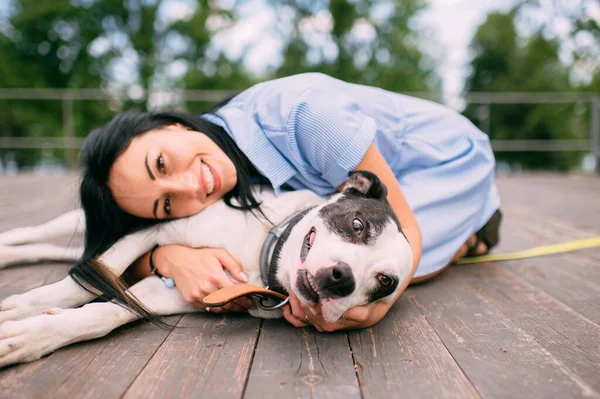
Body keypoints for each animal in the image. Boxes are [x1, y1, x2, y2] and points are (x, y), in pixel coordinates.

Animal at [0, 170, 412, 368]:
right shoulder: (157, 231)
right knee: (42, 238)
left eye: (384, 282)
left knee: (51, 251)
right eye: (357, 225)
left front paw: (32, 337)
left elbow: (105, 314)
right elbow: (84, 284)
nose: (343, 279)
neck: (258, 257)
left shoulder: (172, 292)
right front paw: (25, 311)